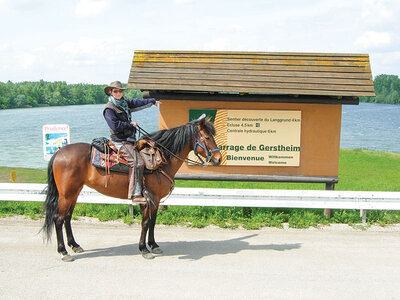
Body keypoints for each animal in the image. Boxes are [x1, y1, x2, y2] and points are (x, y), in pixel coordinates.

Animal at [41, 117, 222, 260]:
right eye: (207, 137)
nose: (218, 158)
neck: (162, 160)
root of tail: (58, 153)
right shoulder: (148, 199)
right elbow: (145, 222)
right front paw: (144, 249)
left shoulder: (156, 200)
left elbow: (152, 222)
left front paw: (153, 245)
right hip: (66, 194)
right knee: (58, 218)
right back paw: (63, 252)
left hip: (74, 193)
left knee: (67, 217)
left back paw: (74, 245)